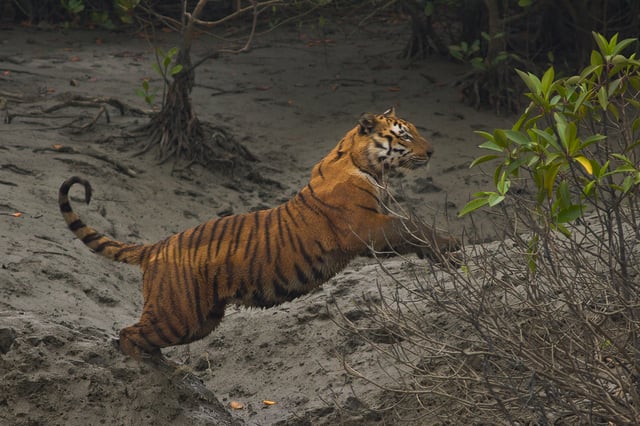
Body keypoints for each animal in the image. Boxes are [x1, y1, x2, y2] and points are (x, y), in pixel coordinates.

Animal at [58, 108, 460, 362]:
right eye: (404, 135)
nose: (432, 151)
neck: (371, 167)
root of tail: (157, 245)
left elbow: (410, 228)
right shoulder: (365, 226)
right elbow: (410, 226)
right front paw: (450, 246)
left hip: (200, 319)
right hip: (178, 315)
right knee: (128, 333)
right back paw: (148, 367)